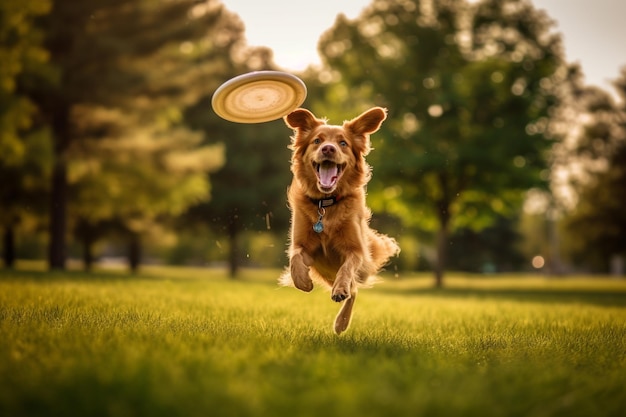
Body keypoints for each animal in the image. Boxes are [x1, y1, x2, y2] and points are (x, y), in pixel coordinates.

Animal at [280, 107, 398, 334]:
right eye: (317, 140)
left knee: (354, 291)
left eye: (343, 143)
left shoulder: (356, 250)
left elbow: (347, 269)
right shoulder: (304, 247)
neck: (326, 205)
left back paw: (341, 321)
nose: (328, 149)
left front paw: (340, 290)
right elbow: (295, 259)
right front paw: (303, 282)